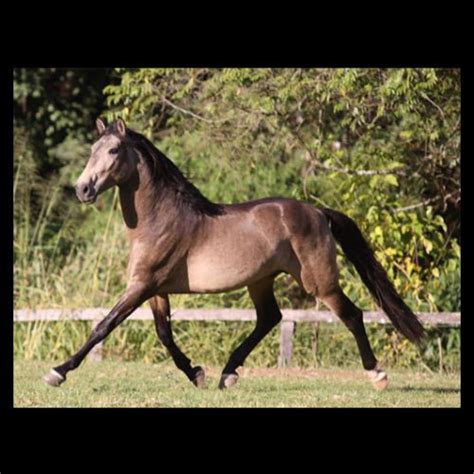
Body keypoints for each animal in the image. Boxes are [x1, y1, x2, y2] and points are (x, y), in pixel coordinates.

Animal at [42, 119, 424, 392]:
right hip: (261, 281)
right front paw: (196, 374)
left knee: (352, 314)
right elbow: (164, 334)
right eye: (93, 148)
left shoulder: (142, 285)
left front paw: (57, 371)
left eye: (113, 150)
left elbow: (104, 325)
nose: (83, 189)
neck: (159, 219)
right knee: (270, 318)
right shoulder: (155, 290)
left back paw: (377, 375)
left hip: (319, 282)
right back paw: (227, 374)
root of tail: (318, 211)